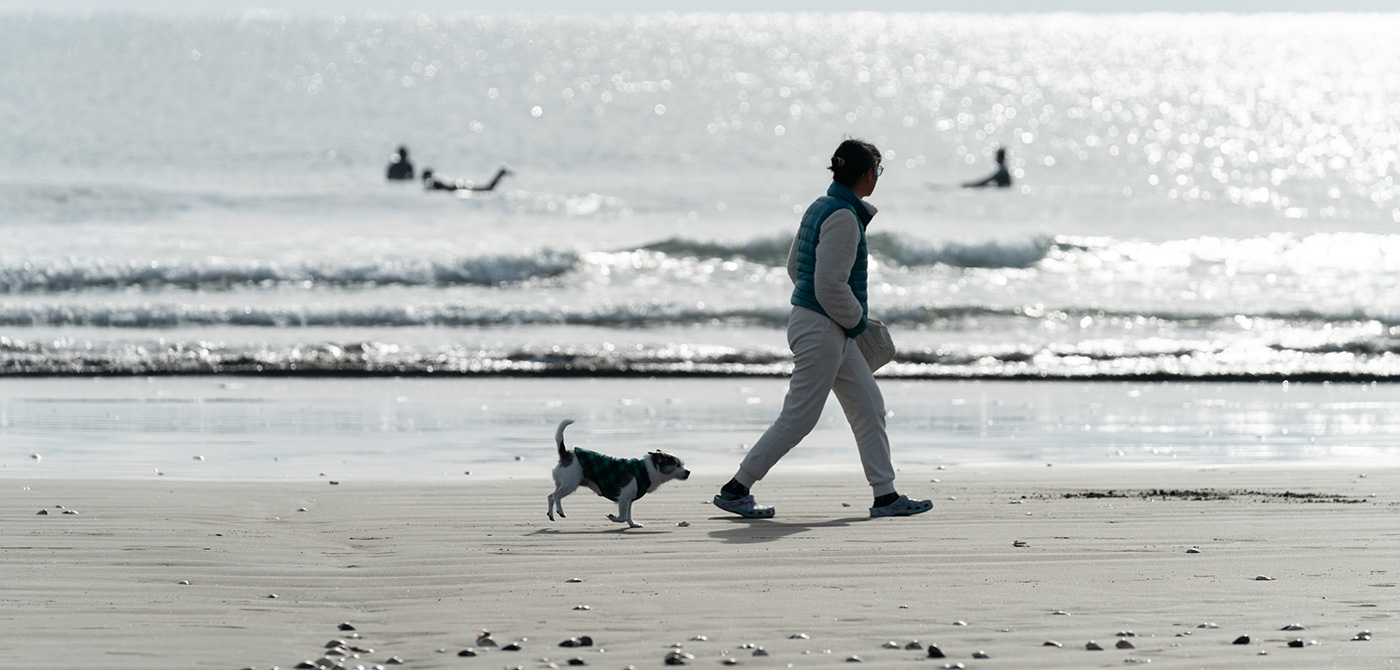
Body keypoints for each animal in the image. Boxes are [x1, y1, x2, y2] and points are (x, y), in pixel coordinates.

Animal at [551, 419, 694, 528]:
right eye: (677, 465)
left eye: (682, 465)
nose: (688, 472)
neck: (647, 470)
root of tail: (566, 454)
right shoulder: (624, 497)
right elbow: (623, 516)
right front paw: (613, 518)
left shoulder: (629, 499)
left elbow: (628, 515)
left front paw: (633, 524)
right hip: (570, 484)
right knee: (556, 496)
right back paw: (560, 511)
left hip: (562, 483)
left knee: (550, 496)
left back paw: (551, 514)